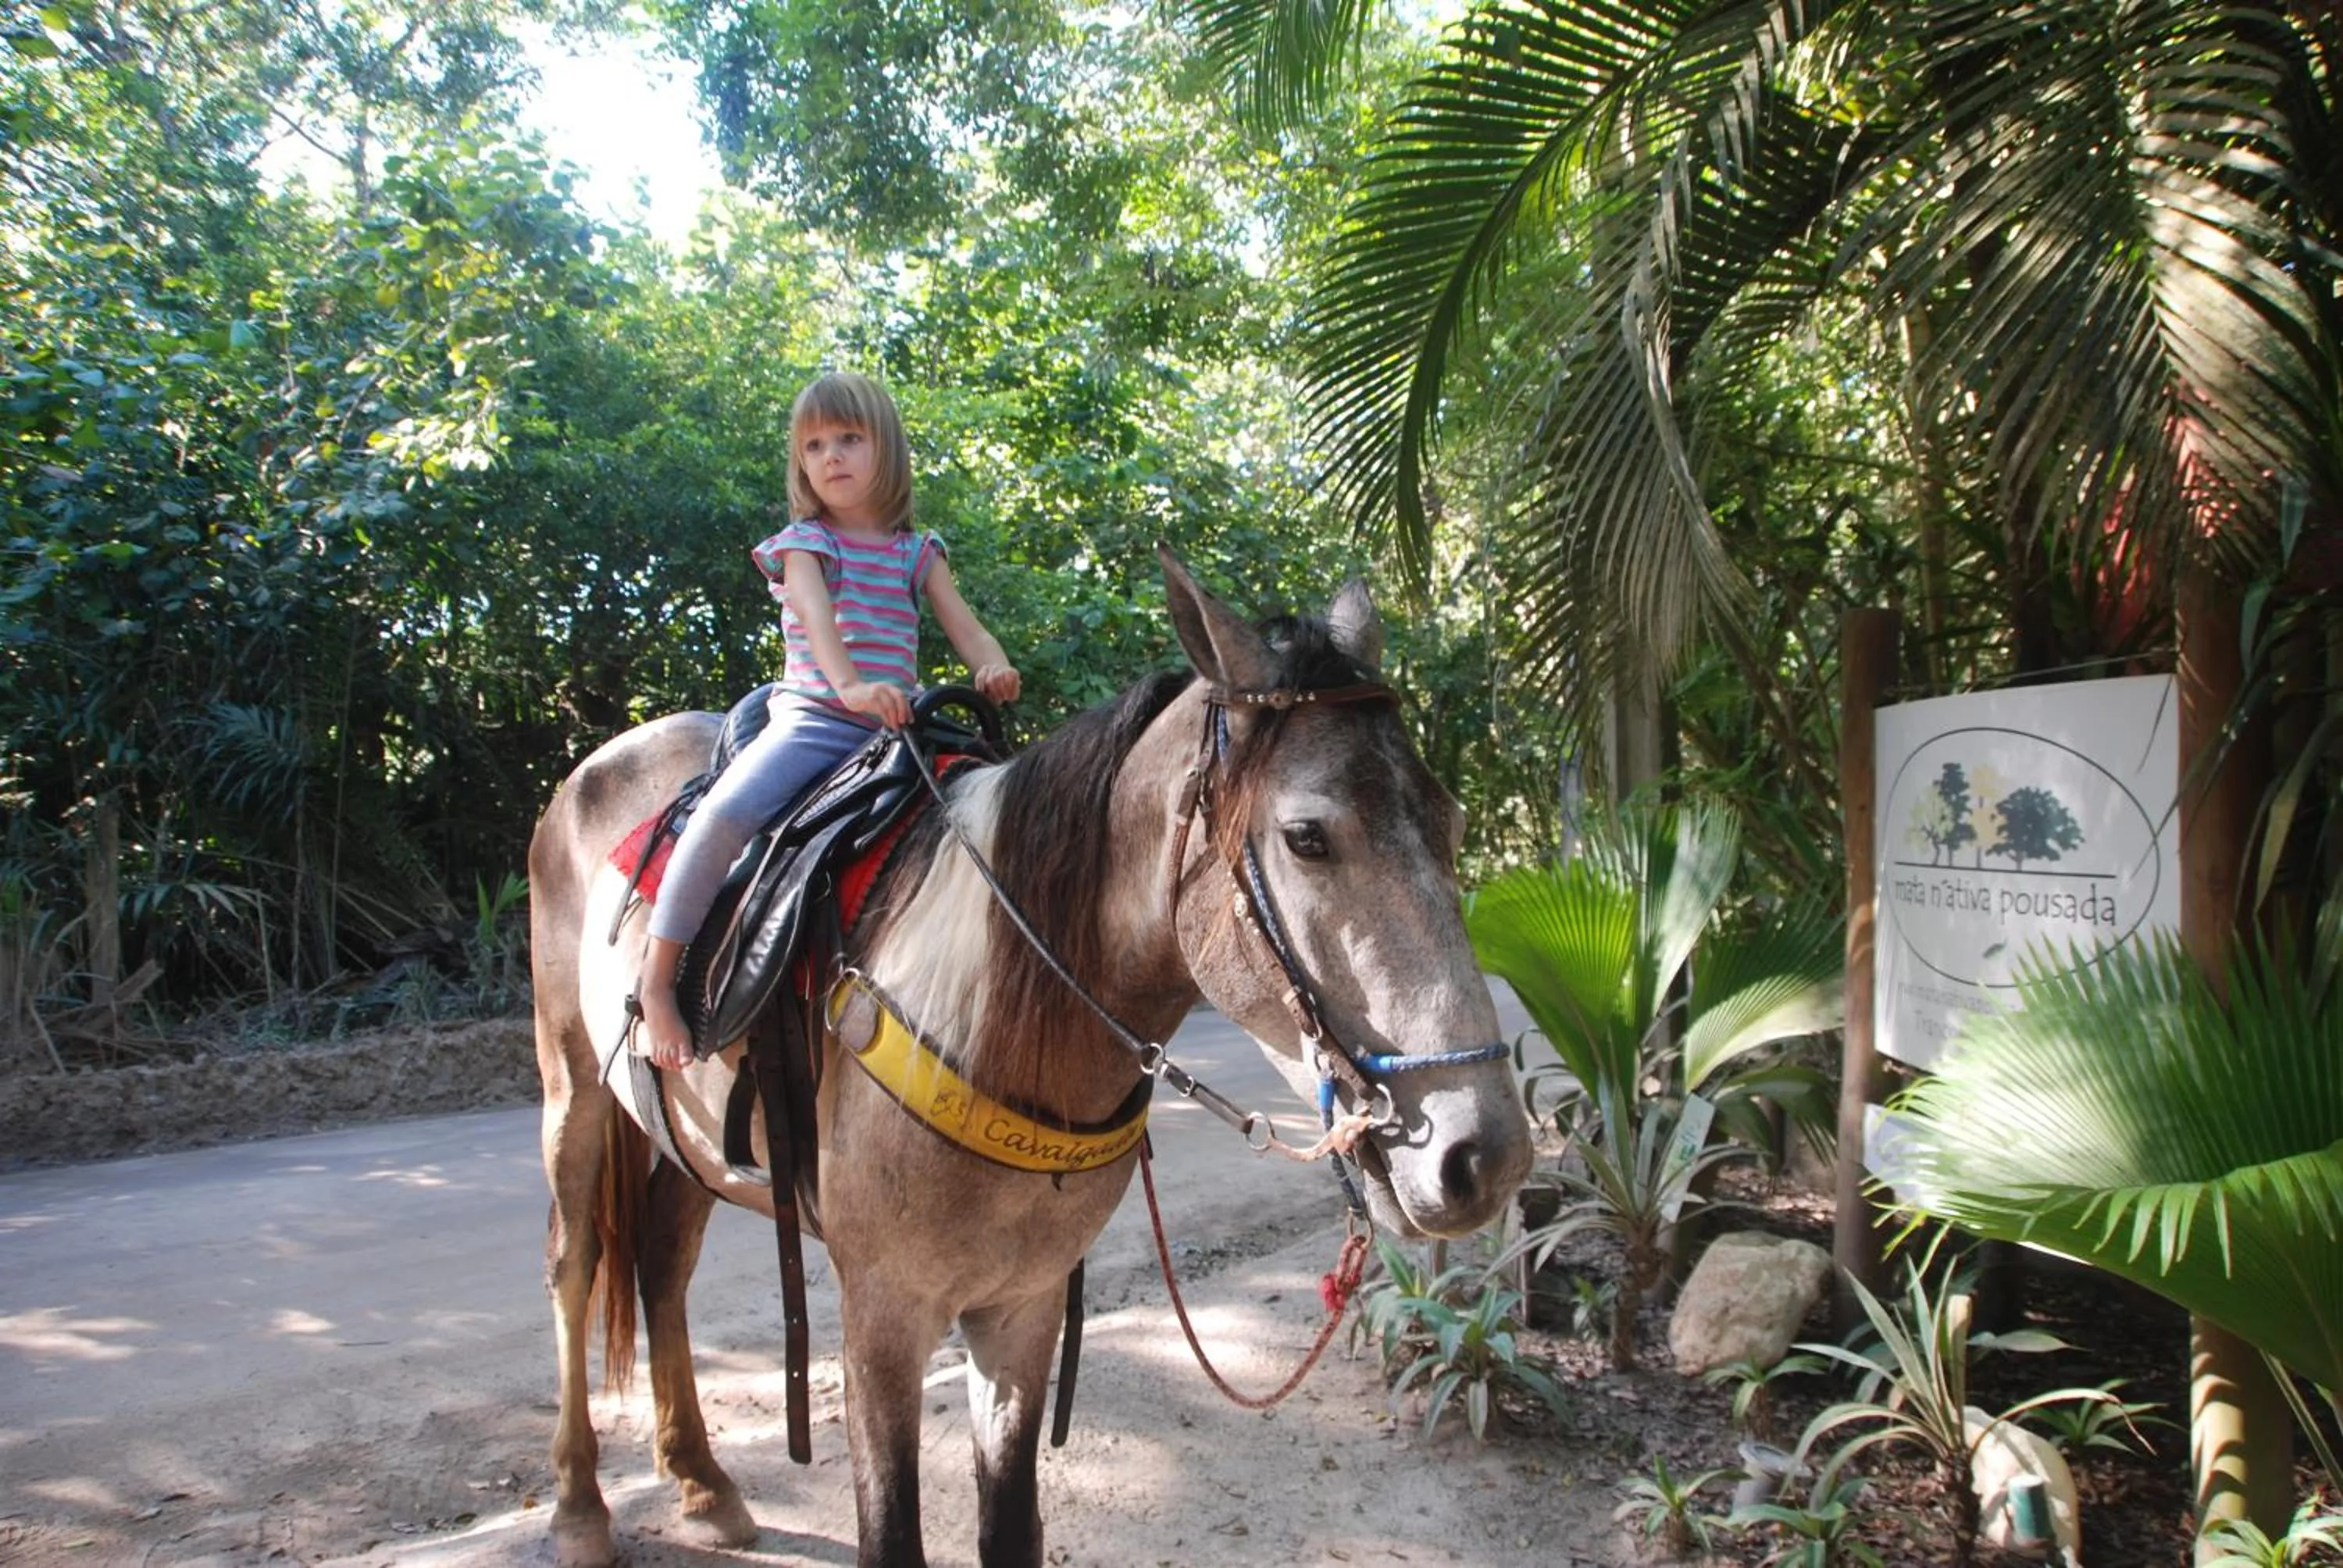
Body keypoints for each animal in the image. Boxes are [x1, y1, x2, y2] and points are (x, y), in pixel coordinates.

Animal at [528, 549, 1534, 1568]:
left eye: (1452, 823)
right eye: (1306, 837)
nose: (1484, 1156)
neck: (997, 1019)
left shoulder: (1024, 1308)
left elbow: (1008, 1524)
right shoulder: (881, 1320)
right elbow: (892, 1534)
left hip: (686, 1135)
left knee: (662, 1260)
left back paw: (700, 1481)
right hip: (570, 1081)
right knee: (574, 1265)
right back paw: (579, 1506)